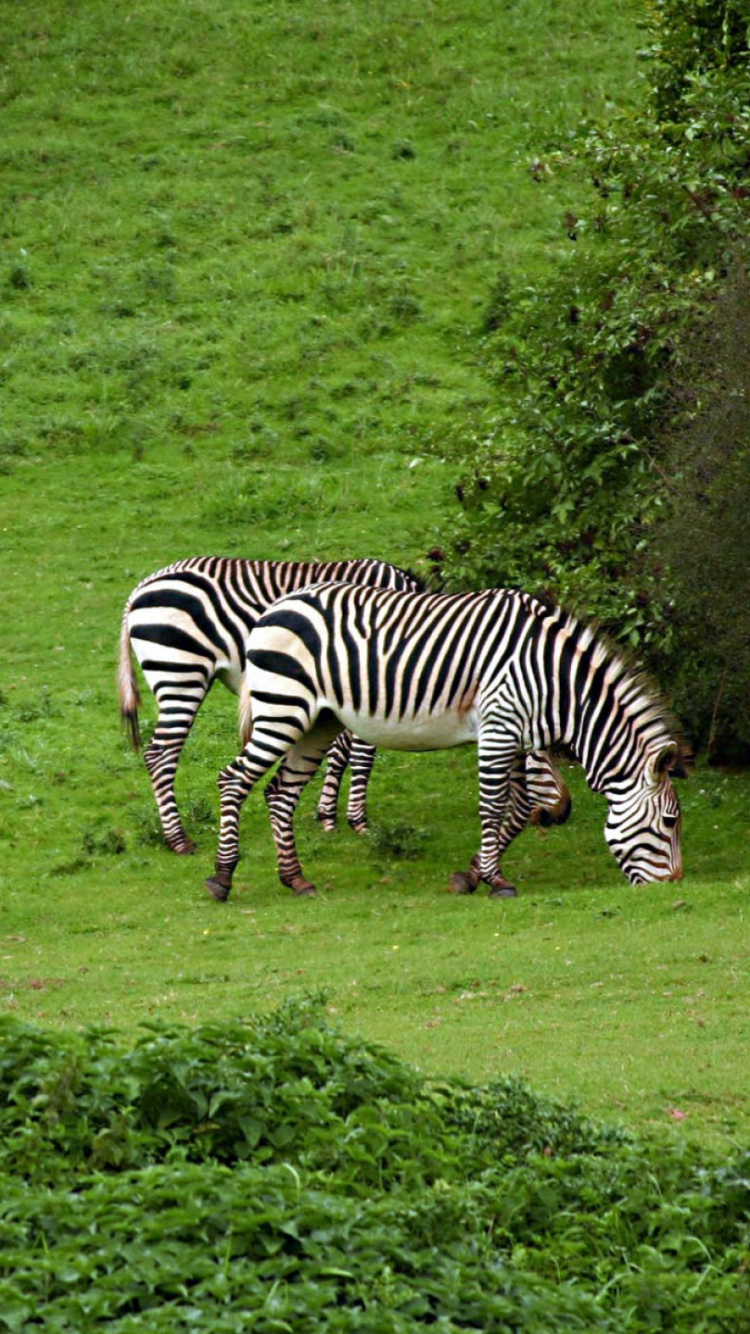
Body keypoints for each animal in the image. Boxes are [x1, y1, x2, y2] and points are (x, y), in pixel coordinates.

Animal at [119, 556, 569, 857]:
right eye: (543, 753)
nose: (562, 814)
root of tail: (140, 588)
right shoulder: (370, 680)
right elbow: (362, 754)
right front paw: (356, 820)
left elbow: (341, 751)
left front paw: (327, 813)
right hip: (182, 671)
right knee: (161, 754)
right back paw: (179, 840)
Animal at [205, 582, 686, 902]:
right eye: (669, 822)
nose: (674, 886)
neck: (555, 679)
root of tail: (277, 605)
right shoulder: (498, 726)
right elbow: (493, 806)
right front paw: (496, 881)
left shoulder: (513, 734)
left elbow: (518, 810)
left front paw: (472, 875)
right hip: (283, 708)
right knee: (234, 780)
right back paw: (222, 878)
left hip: (317, 721)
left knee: (279, 792)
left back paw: (296, 879)